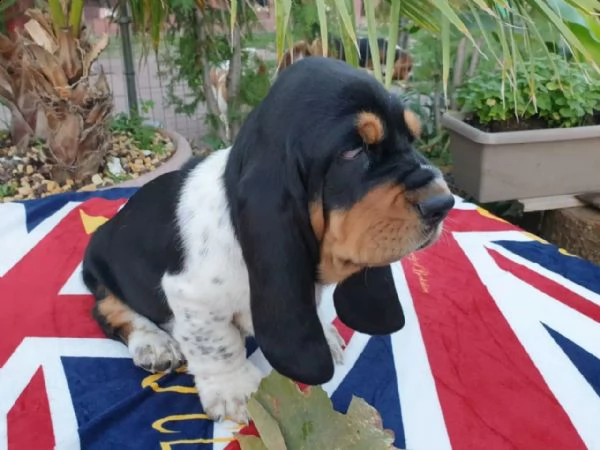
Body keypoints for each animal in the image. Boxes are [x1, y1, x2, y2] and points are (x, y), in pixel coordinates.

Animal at [81, 55, 454, 422]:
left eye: (413, 139)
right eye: (352, 153)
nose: (443, 204)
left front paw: (324, 333)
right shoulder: (193, 297)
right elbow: (218, 345)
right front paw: (237, 391)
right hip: (104, 268)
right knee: (109, 307)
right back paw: (154, 342)